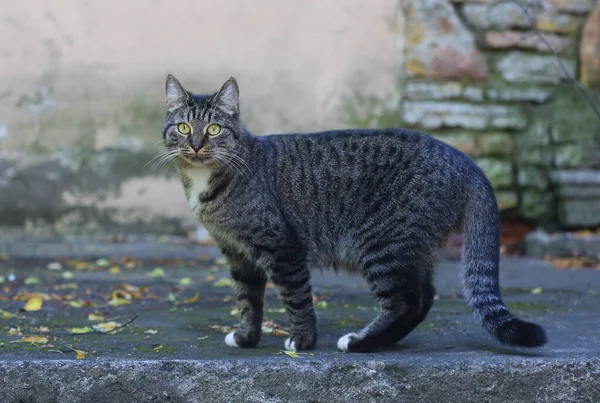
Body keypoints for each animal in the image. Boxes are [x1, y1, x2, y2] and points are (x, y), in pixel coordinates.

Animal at [162, 76, 548, 354]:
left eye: (213, 129)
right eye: (183, 127)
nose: (196, 144)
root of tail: (466, 161)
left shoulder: (283, 248)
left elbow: (296, 298)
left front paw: (302, 341)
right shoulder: (238, 253)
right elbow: (248, 300)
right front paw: (246, 337)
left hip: (381, 242)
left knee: (406, 301)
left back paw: (361, 342)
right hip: (409, 246)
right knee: (424, 297)